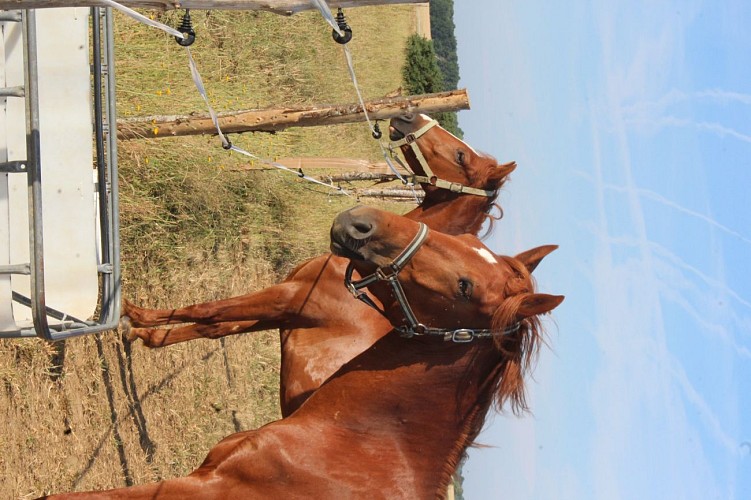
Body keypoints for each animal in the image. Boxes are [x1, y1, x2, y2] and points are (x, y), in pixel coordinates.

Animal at [42, 206, 563, 499]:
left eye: (465, 286)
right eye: (470, 241)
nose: (360, 222)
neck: (363, 442)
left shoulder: (196, 488)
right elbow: (211, 318)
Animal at [122, 113, 517, 416]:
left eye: (460, 155)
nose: (408, 115)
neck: (368, 278)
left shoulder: (288, 298)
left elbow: (209, 310)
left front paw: (133, 316)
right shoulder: (285, 312)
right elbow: (216, 328)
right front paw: (148, 335)